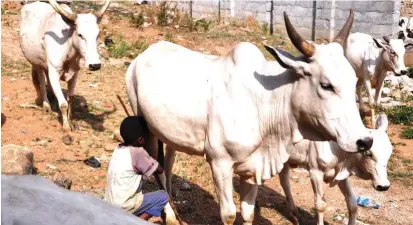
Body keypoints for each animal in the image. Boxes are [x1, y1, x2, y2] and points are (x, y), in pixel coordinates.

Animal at [19, 0, 110, 131]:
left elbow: (70, 98)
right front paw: (66, 127)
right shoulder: (54, 72)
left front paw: (70, 120)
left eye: (97, 35)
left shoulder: (75, 73)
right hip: (36, 64)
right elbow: (63, 104)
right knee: (41, 82)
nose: (95, 65)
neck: (69, 46)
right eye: (80, 35)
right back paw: (46, 105)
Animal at [125, 9, 374, 224]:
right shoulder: (220, 163)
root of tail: (142, 56)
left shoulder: (255, 167)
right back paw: (170, 214)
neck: (263, 102)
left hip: (169, 136)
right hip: (145, 129)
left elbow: (248, 213)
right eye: (326, 85)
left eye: (354, 82)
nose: (365, 140)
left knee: (167, 165)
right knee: (157, 170)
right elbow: (228, 214)